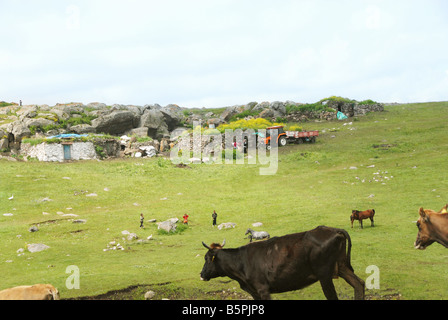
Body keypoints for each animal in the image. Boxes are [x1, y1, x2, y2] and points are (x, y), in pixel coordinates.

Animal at [201, 226, 366, 298]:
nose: (201, 274)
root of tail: (334, 229)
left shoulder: (263, 289)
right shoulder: (254, 291)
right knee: (359, 284)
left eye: (207, 258)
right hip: (342, 266)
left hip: (324, 275)